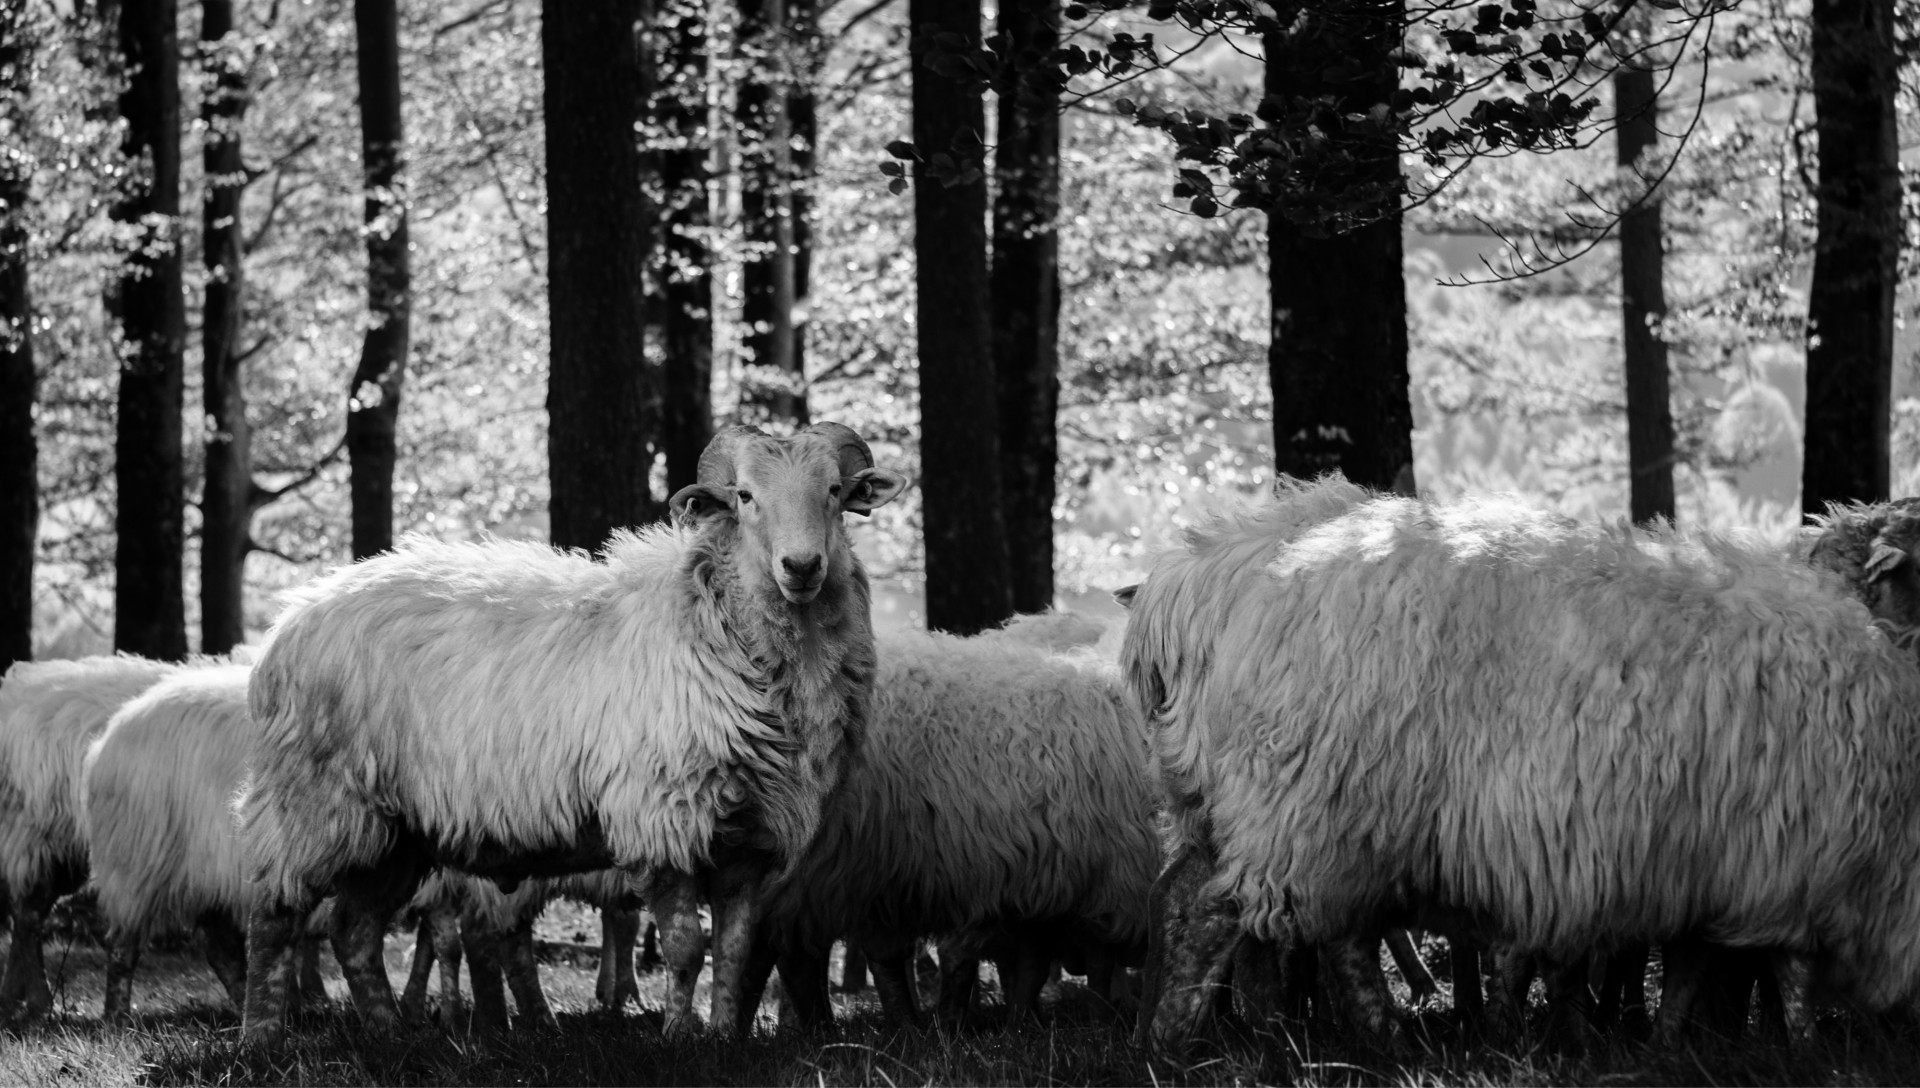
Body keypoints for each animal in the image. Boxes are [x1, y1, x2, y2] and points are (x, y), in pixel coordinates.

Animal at [0, 654, 176, 1019]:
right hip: (39, 835)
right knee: (27, 915)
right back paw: (37, 1001)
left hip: (62, 848)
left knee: (28, 913)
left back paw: (16, 998)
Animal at [236, 422, 907, 1045]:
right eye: (744, 496)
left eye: (834, 491)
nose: (802, 567)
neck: (711, 623)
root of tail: (290, 618)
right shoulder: (662, 817)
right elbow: (686, 946)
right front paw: (678, 1035)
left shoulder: (748, 837)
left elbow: (735, 952)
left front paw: (722, 1038)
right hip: (314, 802)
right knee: (274, 917)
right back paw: (260, 1036)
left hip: (394, 832)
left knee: (353, 932)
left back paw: (387, 1032)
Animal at [1127, 476, 1920, 1048]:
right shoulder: (1803, 863)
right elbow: (1787, 976)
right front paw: (1802, 1050)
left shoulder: (1713, 865)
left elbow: (1695, 968)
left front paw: (1668, 1042)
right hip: (1315, 802)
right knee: (1232, 915)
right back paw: (1217, 1036)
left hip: (1275, 808)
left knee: (1217, 903)